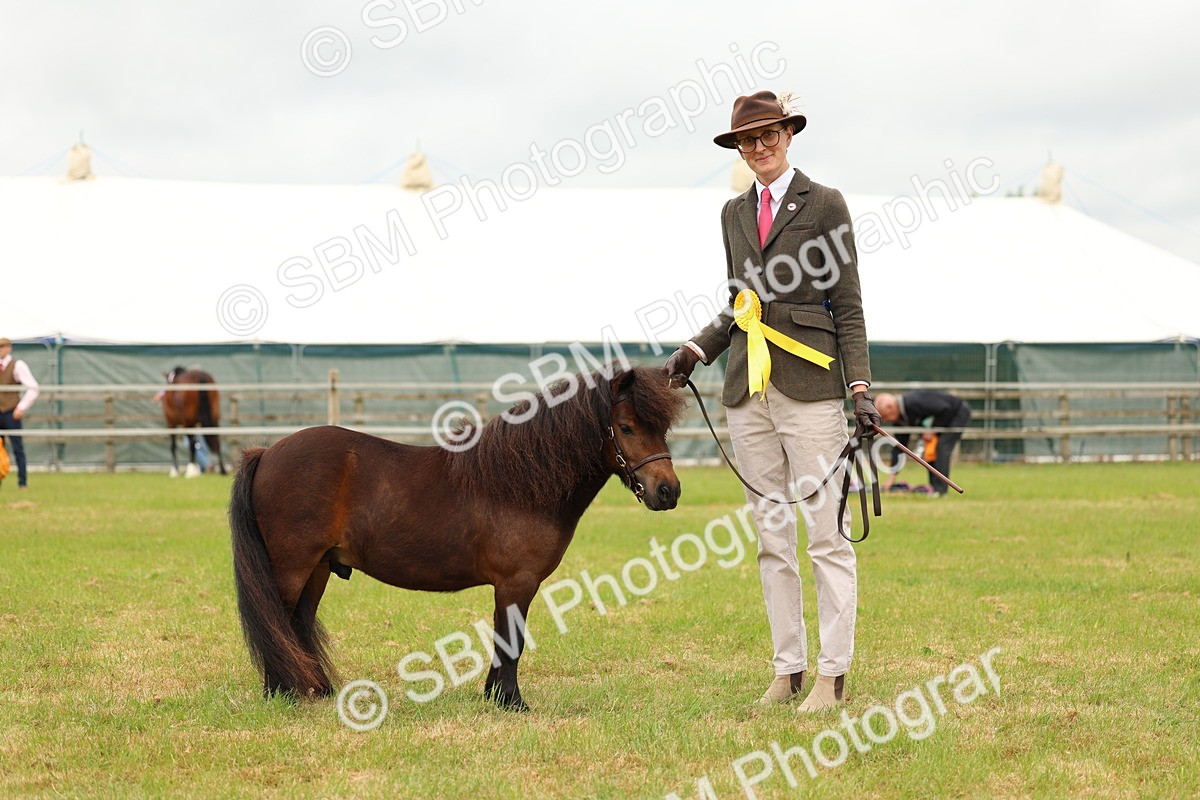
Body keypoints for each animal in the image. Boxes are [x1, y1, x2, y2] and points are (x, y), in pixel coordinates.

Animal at [229, 364, 687, 711]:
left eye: (662, 428)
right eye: (626, 427)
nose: (669, 491)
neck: (520, 483)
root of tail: (266, 453)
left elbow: (504, 640)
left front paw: (495, 697)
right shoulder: (516, 583)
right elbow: (511, 641)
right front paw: (511, 703)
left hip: (319, 568)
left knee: (298, 622)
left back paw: (313, 691)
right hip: (292, 566)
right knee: (277, 620)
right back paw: (282, 694)